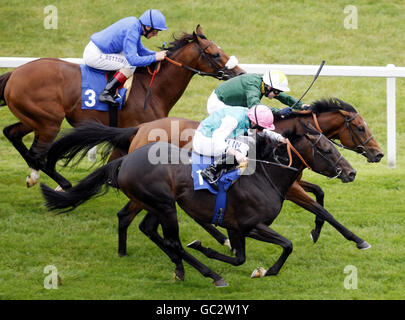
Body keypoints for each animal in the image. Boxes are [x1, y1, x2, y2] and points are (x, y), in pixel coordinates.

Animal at [0, 25, 243, 190]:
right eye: (215, 54)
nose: (239, 72)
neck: (152, 88)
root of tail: (15, 73)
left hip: (34, 119)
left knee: (12, 133)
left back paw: (37, 177)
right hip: (49, 122)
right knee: (37, 153)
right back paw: (59, 182)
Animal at [40, 129, 366, 286]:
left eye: (334, 145)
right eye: (325, 149)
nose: (352, 172)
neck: (264, 174)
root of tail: (125, 158)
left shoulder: (235, 227)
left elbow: (240, 258)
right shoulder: (250, 225)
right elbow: (287, 245)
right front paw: (269, 271)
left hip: (156, 204)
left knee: (150, 230)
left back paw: (181, 268)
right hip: (164, 204)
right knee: (171, 239)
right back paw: (209, 274)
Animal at [45, 96, 384, 254]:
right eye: (359, 127)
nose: (378, 154)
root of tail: (139, 129)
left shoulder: (292, 182)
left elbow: (320, 196)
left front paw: (316, 232)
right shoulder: (287, 186)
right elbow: (321, 207)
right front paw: (358, 240)